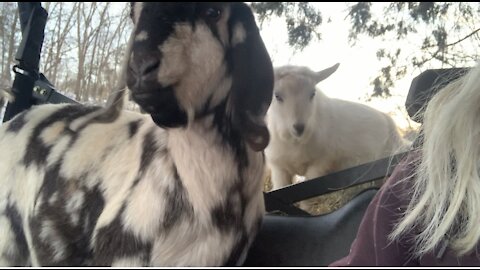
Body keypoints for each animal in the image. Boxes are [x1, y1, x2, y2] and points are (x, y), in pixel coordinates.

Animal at [266, 63, 408, 197]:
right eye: (277, 95)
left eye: (312, 94)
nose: (299, 128)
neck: (295, 143)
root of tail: (387, 118)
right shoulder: (279, 170)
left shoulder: (320, 163)